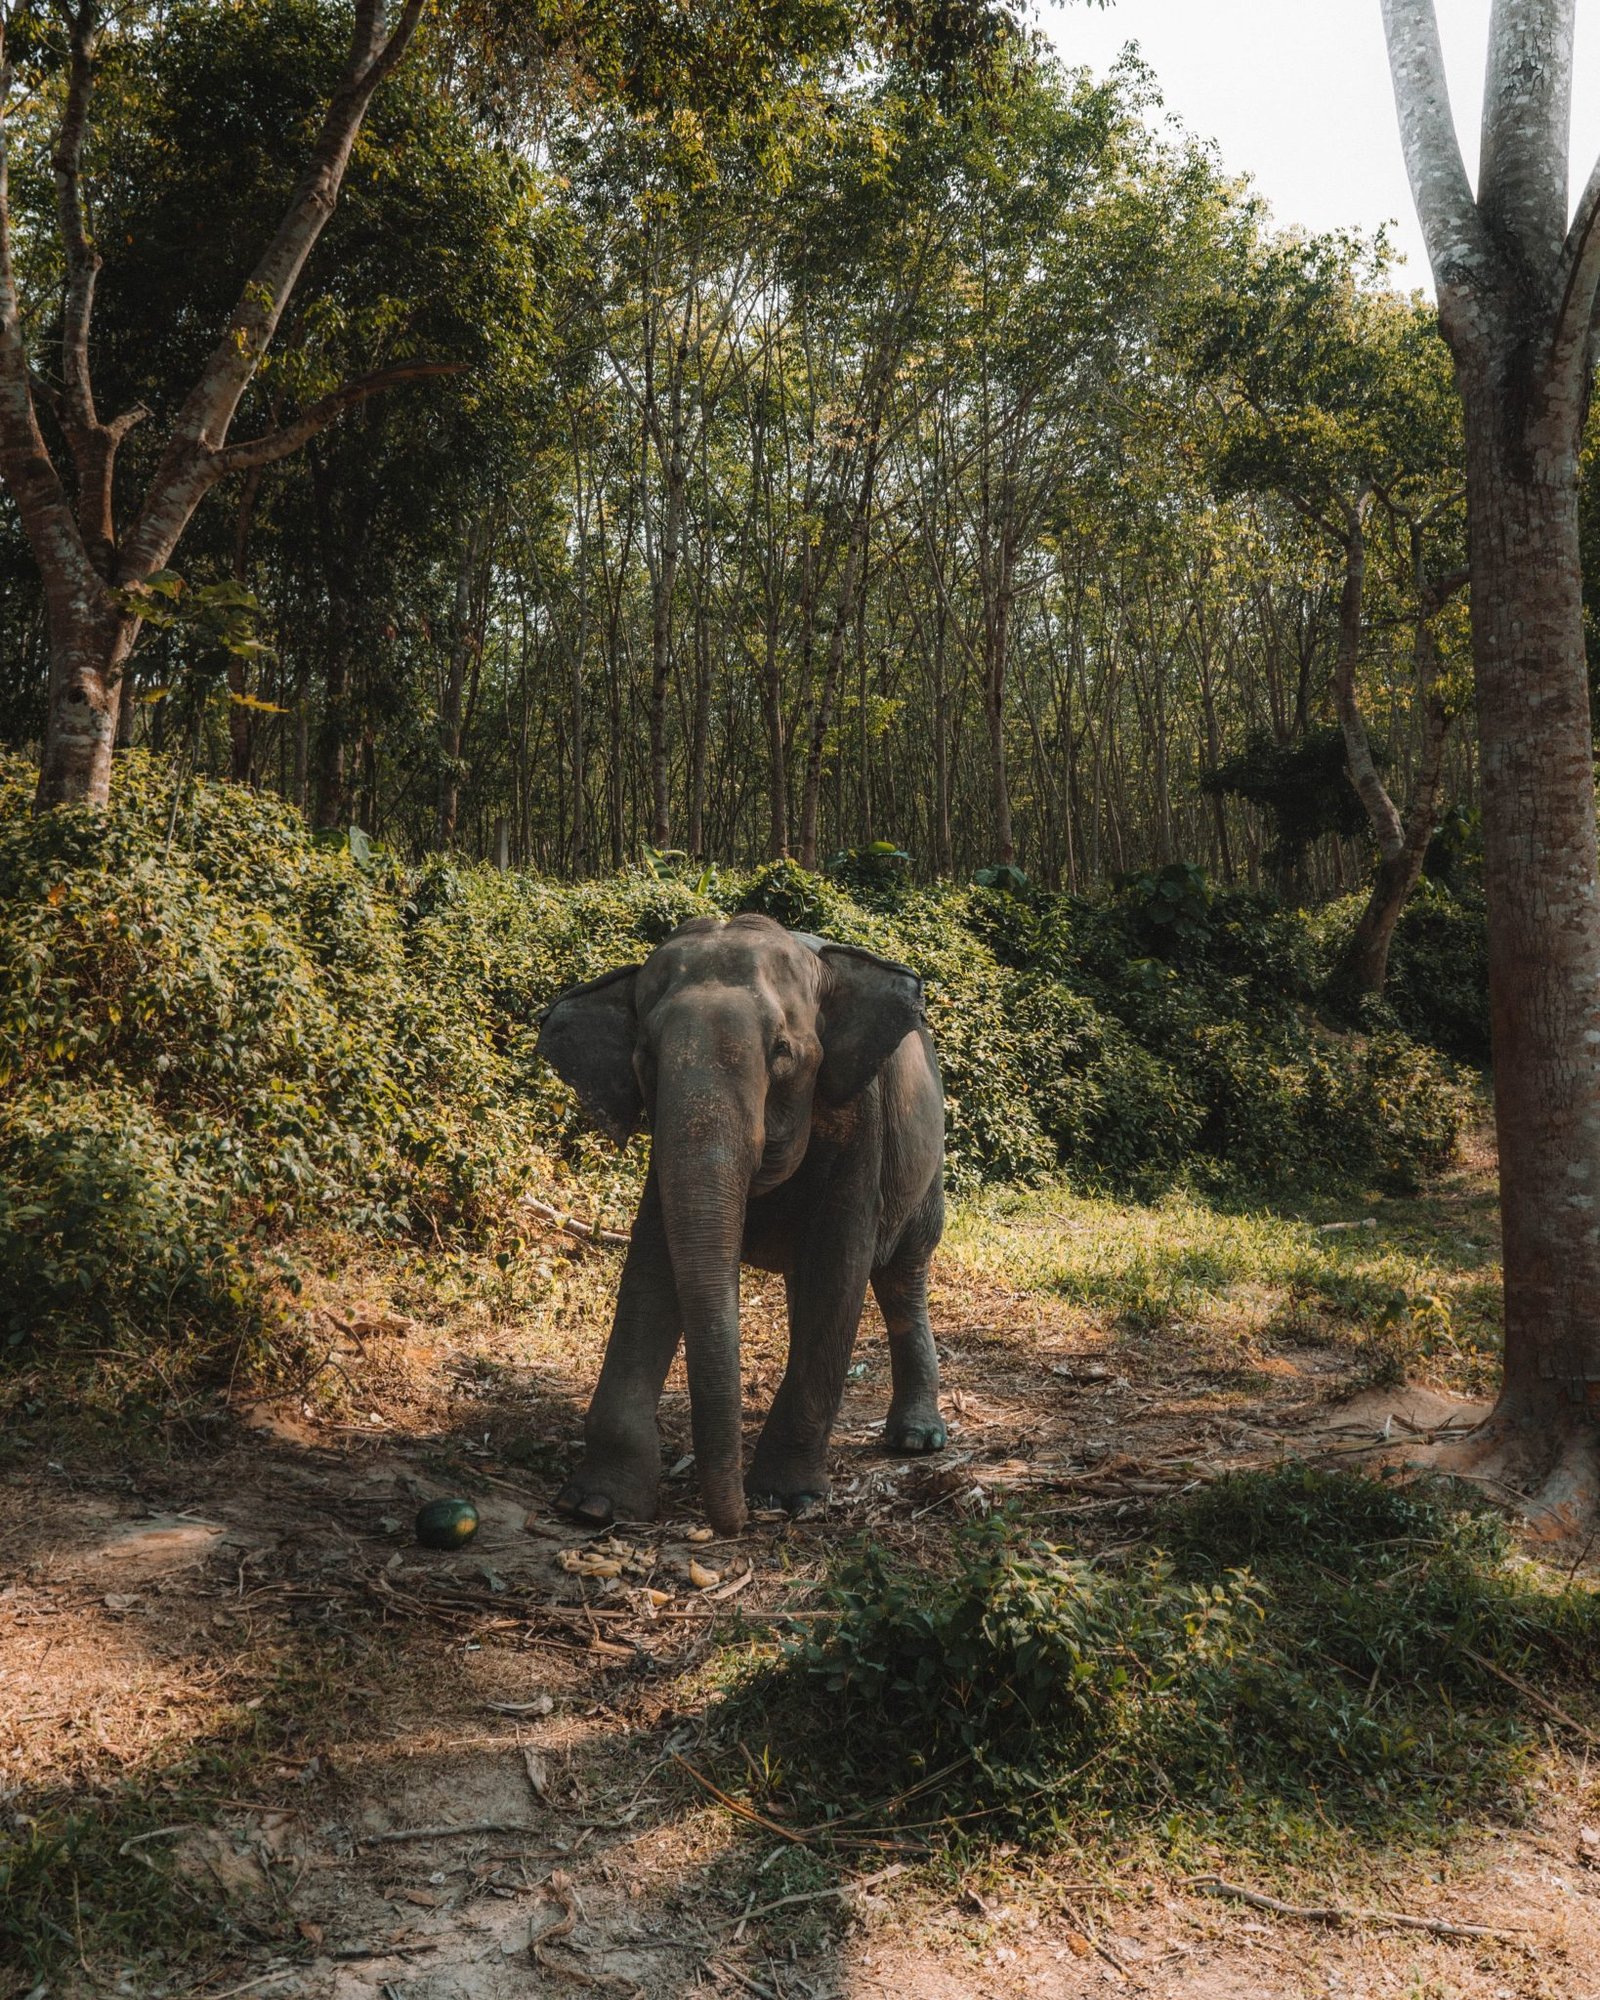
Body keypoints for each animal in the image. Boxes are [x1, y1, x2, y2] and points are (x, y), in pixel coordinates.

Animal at [544, 916, 952, 1536]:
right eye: (645, 1057)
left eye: (782, 1052)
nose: (731, 1525)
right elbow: (650, 1271)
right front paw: (593, 1506)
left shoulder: (861, 1125)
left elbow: (839, 1269)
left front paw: (787, 1498)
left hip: (926, 1163)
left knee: (902, 1275)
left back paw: (916, 1440)